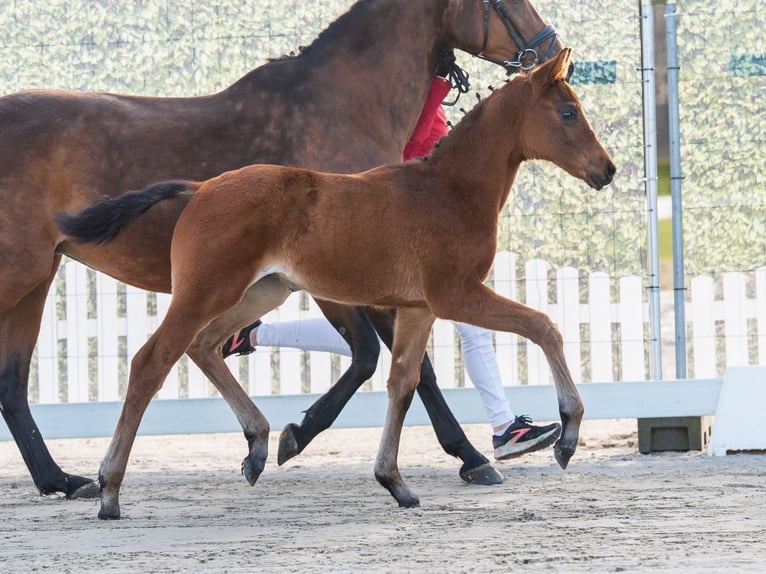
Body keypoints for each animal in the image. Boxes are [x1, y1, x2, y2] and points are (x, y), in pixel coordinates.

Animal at [0, 0, 563, 500]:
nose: (551, 49)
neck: (343, 106)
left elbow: (393, 362)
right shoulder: (351, 278)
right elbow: (383, 360)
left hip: (41, 277)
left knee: (13, 382)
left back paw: (60, 479)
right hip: (25, 274)